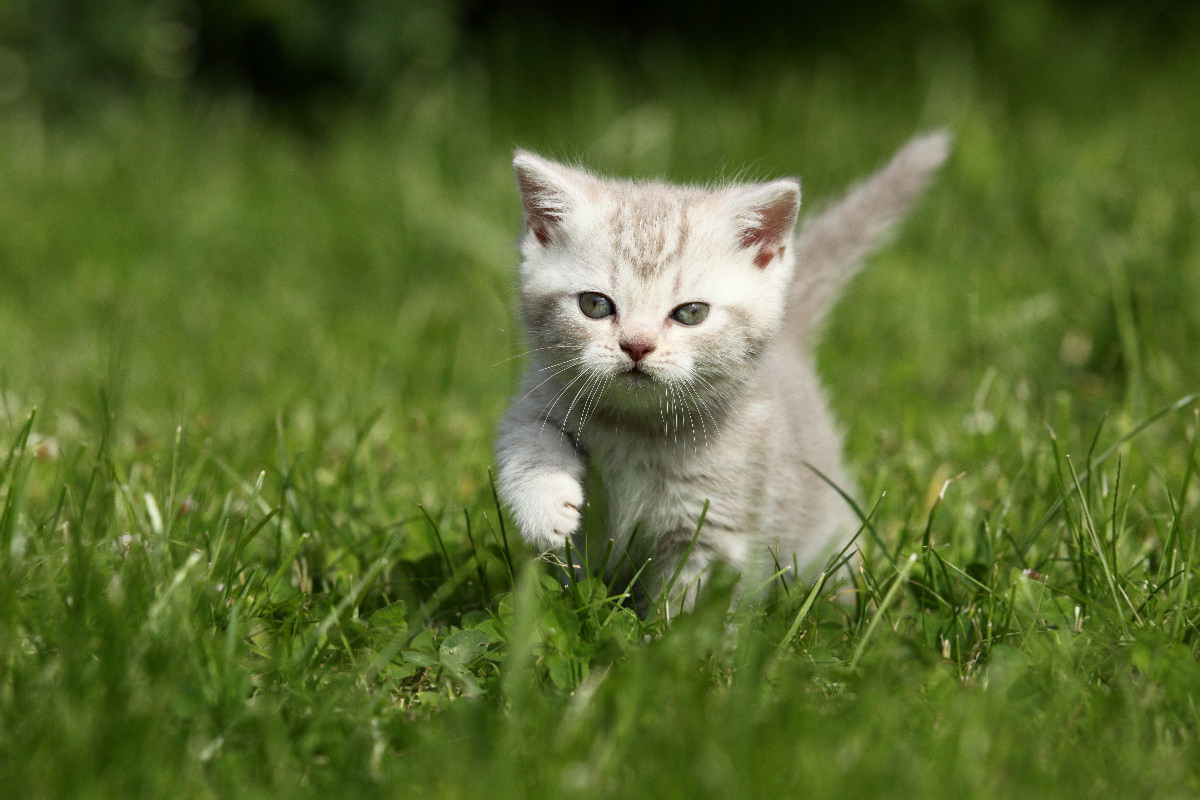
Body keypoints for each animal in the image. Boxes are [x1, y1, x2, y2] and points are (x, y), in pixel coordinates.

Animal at [494, 131, 945, 609]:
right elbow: (525, 442)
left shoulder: (715, 521)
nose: (637, 345)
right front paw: (546, 505)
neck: (638, 429)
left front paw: (670, 630)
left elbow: (689, 603)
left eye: (691, 313)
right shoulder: (538, 397)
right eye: (595, 305)